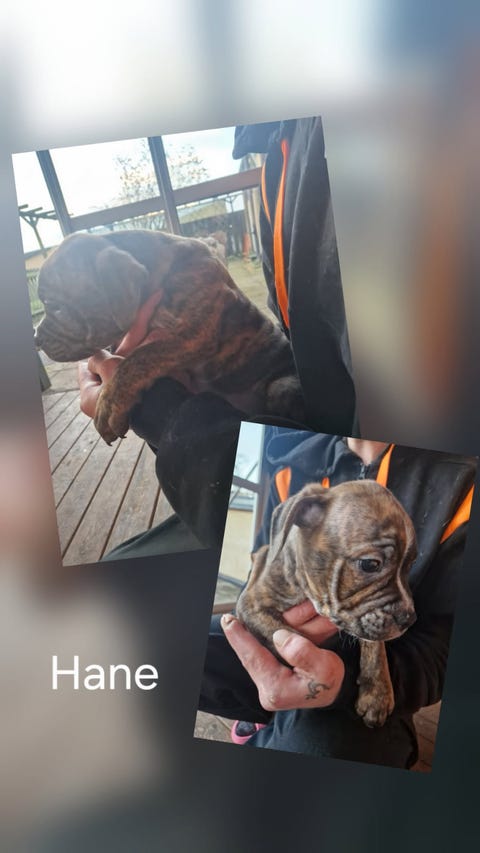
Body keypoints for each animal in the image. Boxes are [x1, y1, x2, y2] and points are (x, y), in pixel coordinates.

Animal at [34, 230, 305, 444]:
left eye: (56, 307)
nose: (35, 337)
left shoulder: (195, 334)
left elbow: (139, 357)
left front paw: (109, 402)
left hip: (281, 387)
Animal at [236, 479, 417, 727]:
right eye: (370, 564)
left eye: (409, 567)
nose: (410, 618)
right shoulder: (252, 605)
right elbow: (291, 635)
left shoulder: (368, 616)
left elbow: (375, 644)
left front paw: (377, 693)